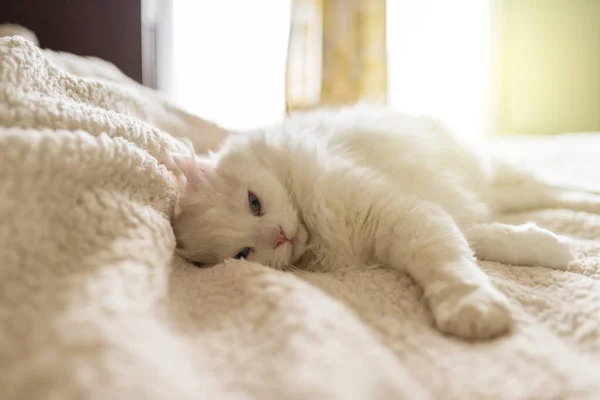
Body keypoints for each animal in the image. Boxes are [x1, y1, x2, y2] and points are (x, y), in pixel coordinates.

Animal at [166, 105, 596, 340]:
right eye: (243, 254)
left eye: (254, 203)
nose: (279, 235)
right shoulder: (424, 211)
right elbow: (477, 243)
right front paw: (551, 249)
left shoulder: (397, 213)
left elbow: (452, 266)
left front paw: (473, 306)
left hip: (502, 178)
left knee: (558, 190)